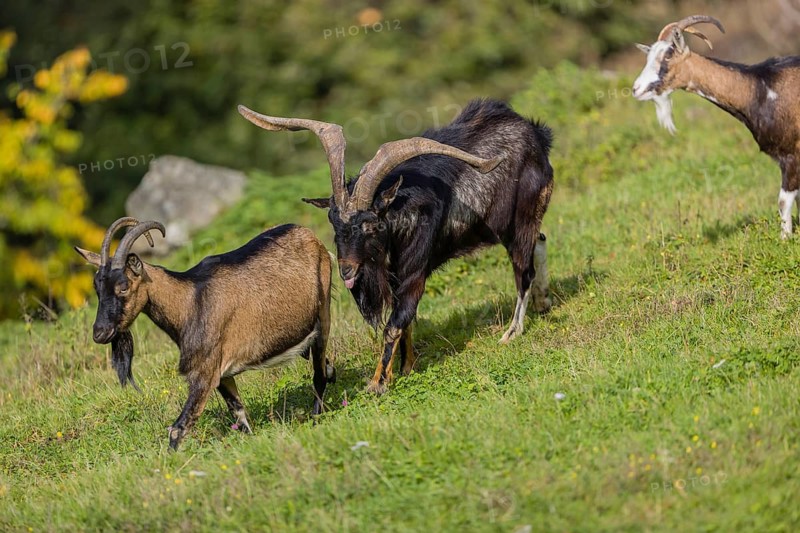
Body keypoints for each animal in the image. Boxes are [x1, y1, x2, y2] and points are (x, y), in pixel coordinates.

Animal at [75, 217, 334, 449]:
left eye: (124, 286)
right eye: (97, 288)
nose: (100, 333)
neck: (190, 301)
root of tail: (308, 234)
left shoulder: (203, 373)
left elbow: (178, 428)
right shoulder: (222, 375)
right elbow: (238, 412)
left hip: (323, 316)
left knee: (319, 375)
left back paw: (316, 417)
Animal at [239, 99, 553, 395]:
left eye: (371, 225)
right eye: (333, 223)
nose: (346, 270)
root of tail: (536, 133)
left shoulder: (414, 272)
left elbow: (395, 323)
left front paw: (377, 383)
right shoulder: (394, 276)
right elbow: (406, 321)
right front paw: (406, 367)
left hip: (520, 220)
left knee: (524, 270)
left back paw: (511, 332)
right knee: (540, 242)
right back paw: (544, 303)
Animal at [632, 15, 800, 238]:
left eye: (667, 56)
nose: (636, 89)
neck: (759, 88)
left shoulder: (791, 155)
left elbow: (784, 201)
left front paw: (784, 239)